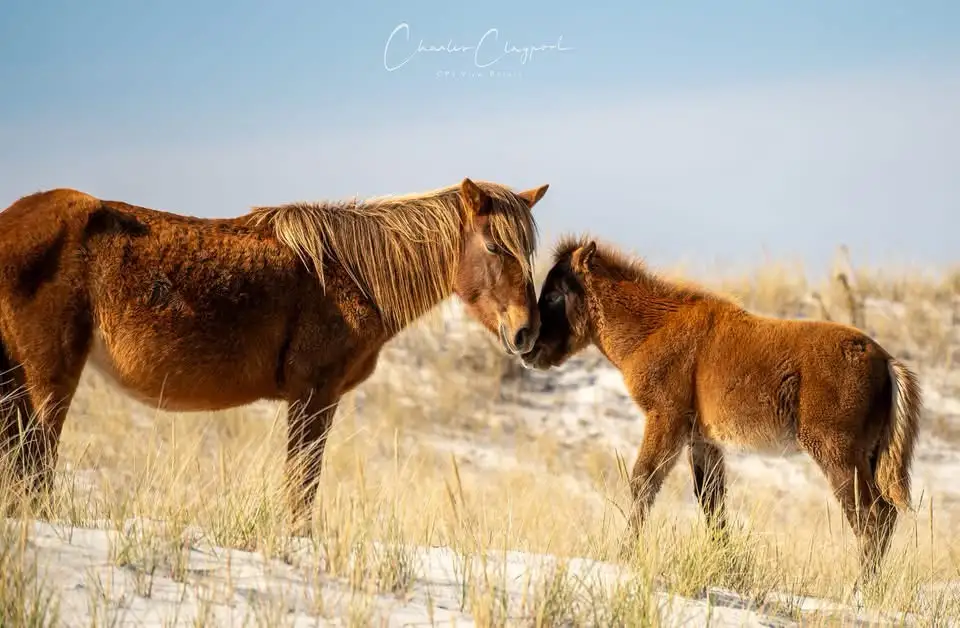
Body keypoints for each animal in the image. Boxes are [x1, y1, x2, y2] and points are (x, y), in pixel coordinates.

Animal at [0, 177, 549, 528]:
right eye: (495, 247)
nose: (527, 333)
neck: (350, 273)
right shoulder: (314, 395)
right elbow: (302, 482)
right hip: (48, 381)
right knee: (35, 462)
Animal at [520, 235, 922, 588]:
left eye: (555, 293)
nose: (528, 347)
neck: (655, 327)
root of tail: (885, 361)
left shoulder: (666, 420)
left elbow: (643, 482)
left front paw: (623, 555)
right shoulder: (702, 440)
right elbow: (712, 503)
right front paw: (727, 568)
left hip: (837, 455)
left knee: (872, 517)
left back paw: (860, 590)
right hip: (863, 456)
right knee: (884, 515)